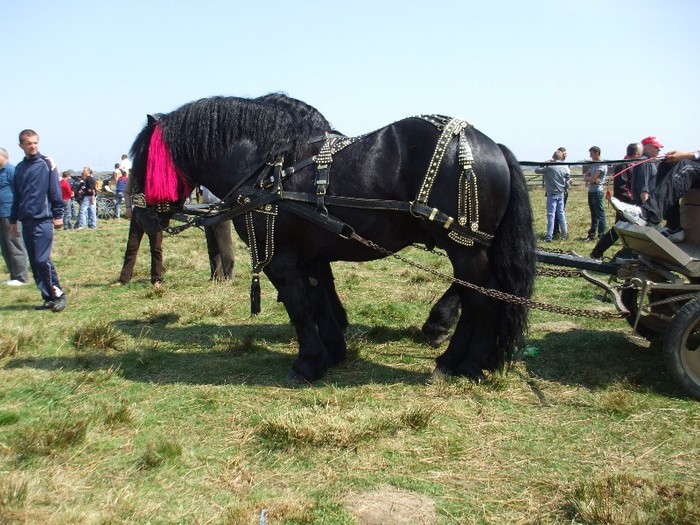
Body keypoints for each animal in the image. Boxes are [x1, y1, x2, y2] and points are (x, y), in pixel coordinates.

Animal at [130, 93, 536, 380]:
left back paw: (466, 363)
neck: (266, 167)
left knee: (482, 298)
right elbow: (319, 300)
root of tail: (495, 146)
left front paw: (307, 363)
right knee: (474, 295)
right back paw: (452, 359)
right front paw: (333, 353)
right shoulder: (310, 255)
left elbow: (298, 305)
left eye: (141, 159)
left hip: (464, 246)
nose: (141, 215)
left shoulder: (280, 258)